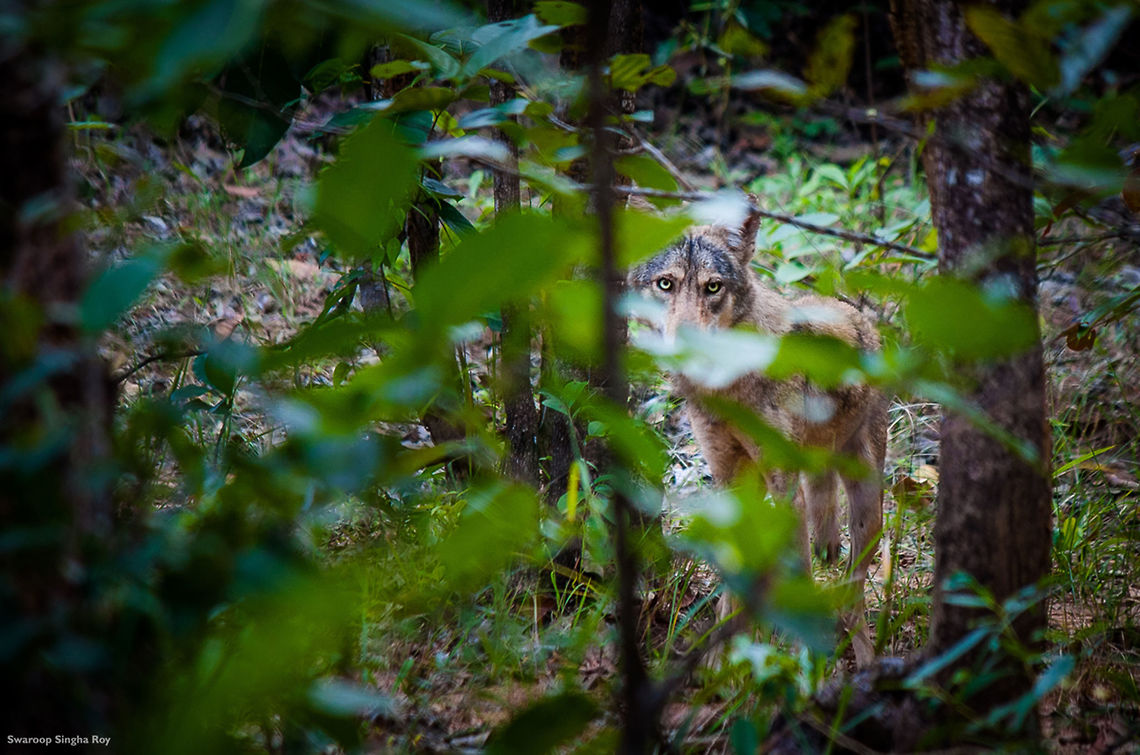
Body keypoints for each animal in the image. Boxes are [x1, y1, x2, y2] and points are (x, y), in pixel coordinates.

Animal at [628, 203, 887, 666]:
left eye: (712, 287)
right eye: (665, 284)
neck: (726, 386)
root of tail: (859, 314)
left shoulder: (783, 487)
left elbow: (795, 574)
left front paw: (797, 660)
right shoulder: (730, 479)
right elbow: (735, 573)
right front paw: (717, 660)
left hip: (867, 505)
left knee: (851, 598)